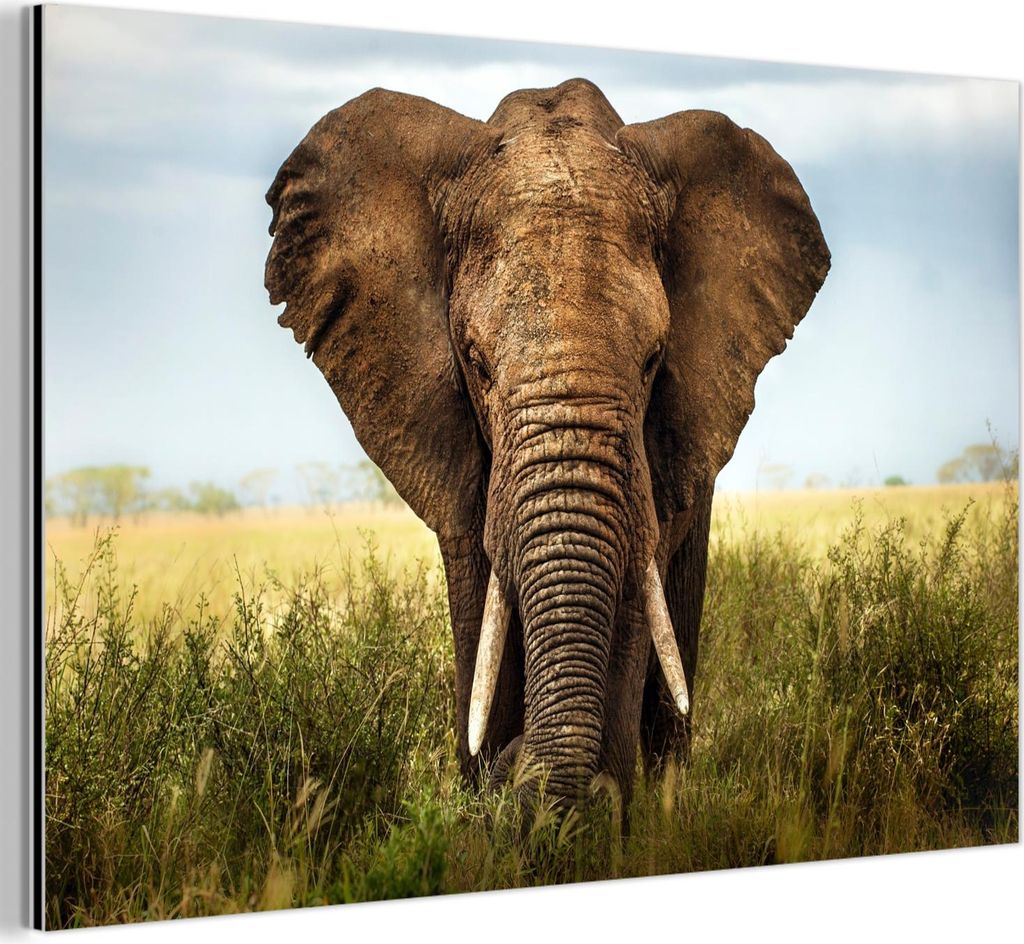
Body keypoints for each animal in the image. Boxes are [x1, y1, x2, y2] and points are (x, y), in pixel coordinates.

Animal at [265, 78, 829, 809]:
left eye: (653, 361)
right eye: (475, 363)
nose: (516, 765)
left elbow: (633, 602)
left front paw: (593, 809)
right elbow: (480, 601)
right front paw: (489, 797)